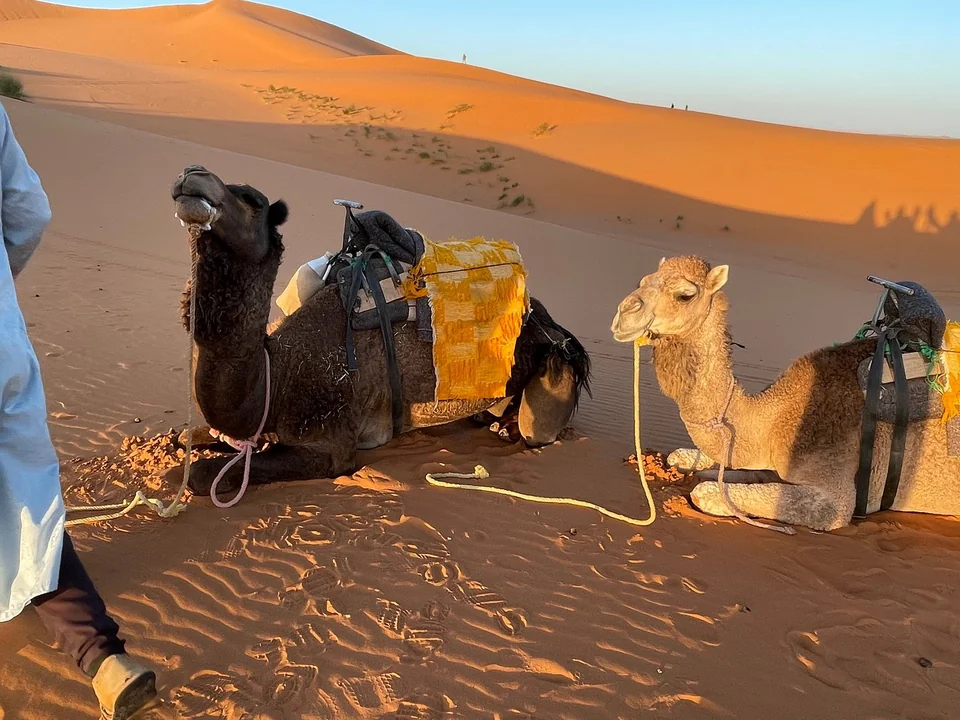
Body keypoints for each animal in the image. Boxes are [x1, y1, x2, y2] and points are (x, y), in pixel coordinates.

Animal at [168, 165, 591, 497]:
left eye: (252, 199)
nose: (192, 174)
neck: (278, 376)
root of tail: (552, 324)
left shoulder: (332, 444)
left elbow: (202, 475)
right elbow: (184, 438)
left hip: (551, 379)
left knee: (535, 429)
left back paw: (508, 428)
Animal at [611, 255, 960, 531]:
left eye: (684, 295)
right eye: (643, 281)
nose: (624, 313)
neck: (775, 421)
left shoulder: (835, 496)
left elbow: (705, 492)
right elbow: (691, 459)